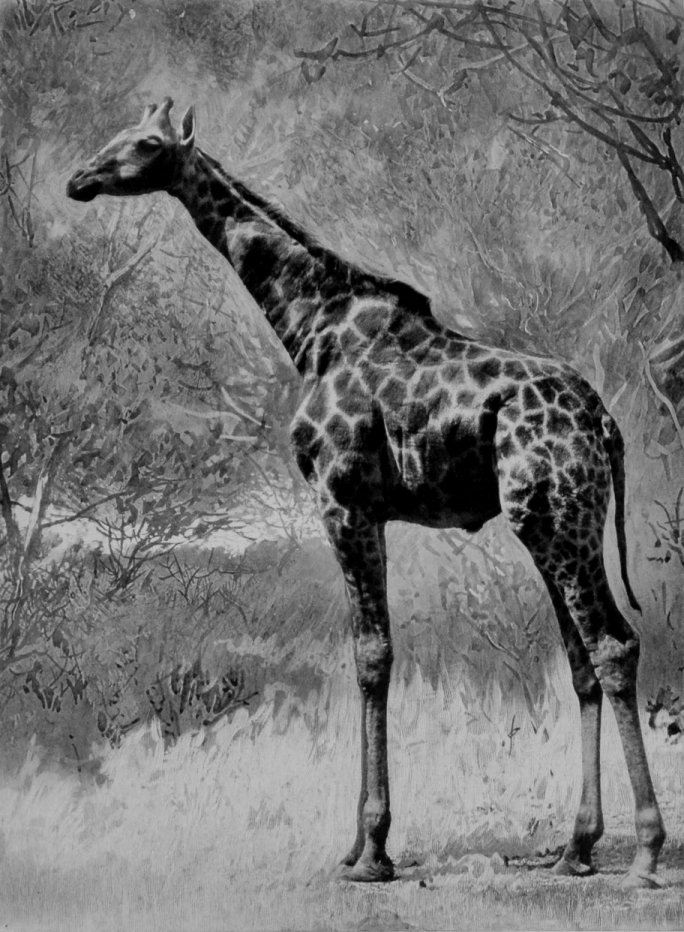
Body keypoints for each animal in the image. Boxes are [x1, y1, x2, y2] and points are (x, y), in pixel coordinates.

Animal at [67, 98, 665, 887]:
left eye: (145, 142)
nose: (78, 180)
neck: (310, 328)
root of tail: (604, 420)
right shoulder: (368, 511)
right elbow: (368, 656)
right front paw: (356, 846)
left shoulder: (342, 500)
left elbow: (371, 655)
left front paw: (373, 851)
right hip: (553, 523)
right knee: (582, 661)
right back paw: (576, 848)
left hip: (557, 518)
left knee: (612, 646)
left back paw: (648, 851)